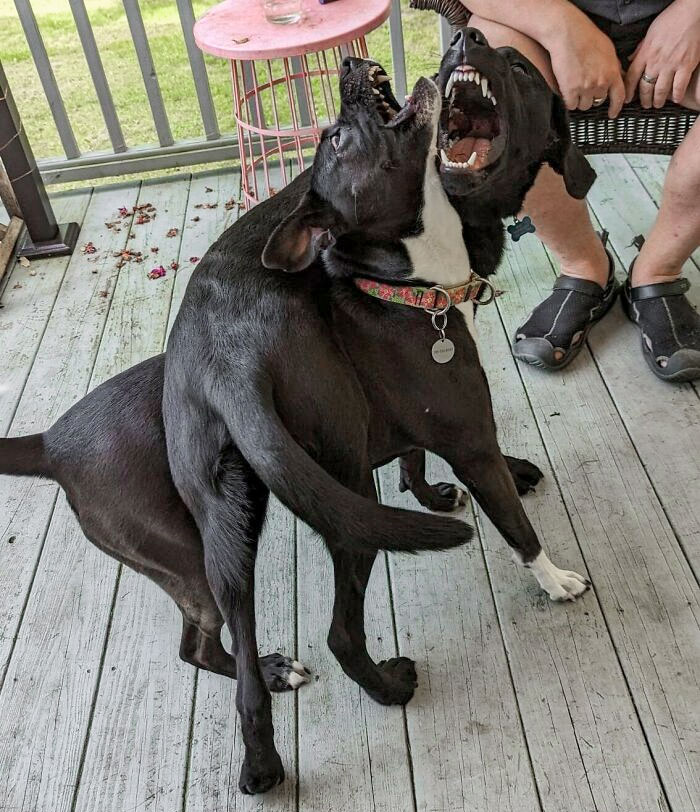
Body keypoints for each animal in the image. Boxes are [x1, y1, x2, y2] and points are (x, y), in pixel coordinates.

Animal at [0, 30, 596, 792]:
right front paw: (556, 579)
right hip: (315, 515)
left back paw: (266, 708)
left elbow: (412, 455)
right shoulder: (468, 435)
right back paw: (374, 693)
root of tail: (49, 445)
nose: (466, 35)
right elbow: (516, 525)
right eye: (336, 136)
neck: (400, 285)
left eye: (519, 67)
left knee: (203, 646)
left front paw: (433, 494)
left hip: (213, 550)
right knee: (335, 633)